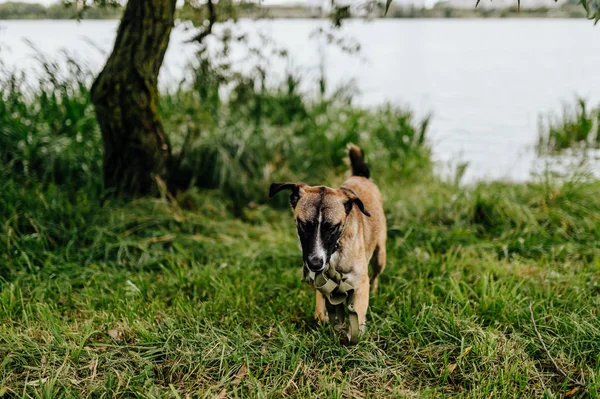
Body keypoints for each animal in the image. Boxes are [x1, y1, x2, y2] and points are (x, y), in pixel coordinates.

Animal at [270, 144, 386, 334]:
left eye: (331, 227)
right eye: (303, 225)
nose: (315, 263)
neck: (336, 250)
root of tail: (360, 177)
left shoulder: (360, 284)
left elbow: (358, 317)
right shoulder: (322, 283)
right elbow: (320, 310)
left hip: (380, 255)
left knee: (376, 274)